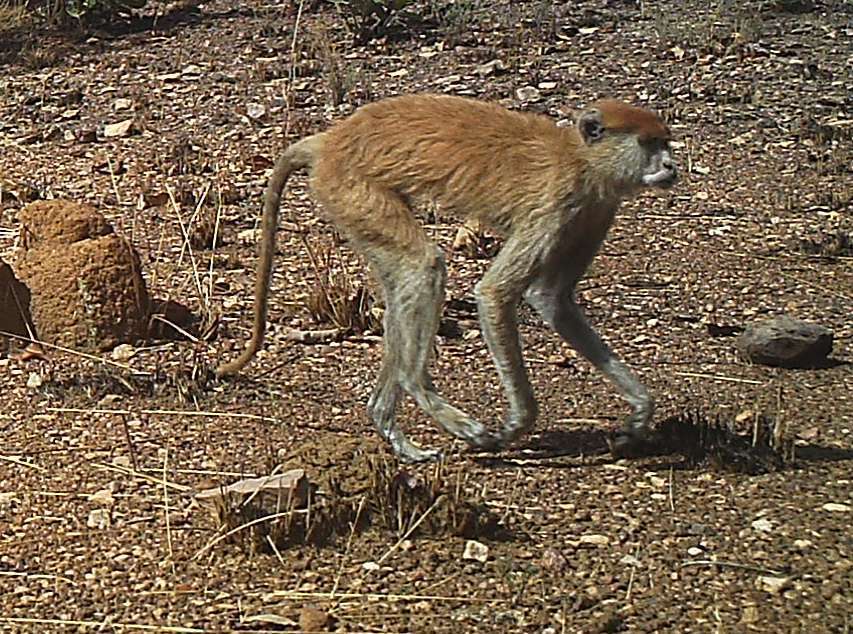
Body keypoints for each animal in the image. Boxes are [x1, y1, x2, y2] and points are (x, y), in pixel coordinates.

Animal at [220, 94, 680, 460]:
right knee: (423, 268)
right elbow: (495, 293)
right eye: (647, 143)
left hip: (350, 201)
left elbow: (553, 299)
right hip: (351, 188)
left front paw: (640, 412)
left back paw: (387, 423)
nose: (671, 165)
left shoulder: (595, 211)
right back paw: (418, 387)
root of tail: (331, 139)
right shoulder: (556, 203)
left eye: (664, 141)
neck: (581, 158)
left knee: (402, 287)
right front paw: (517, 423)